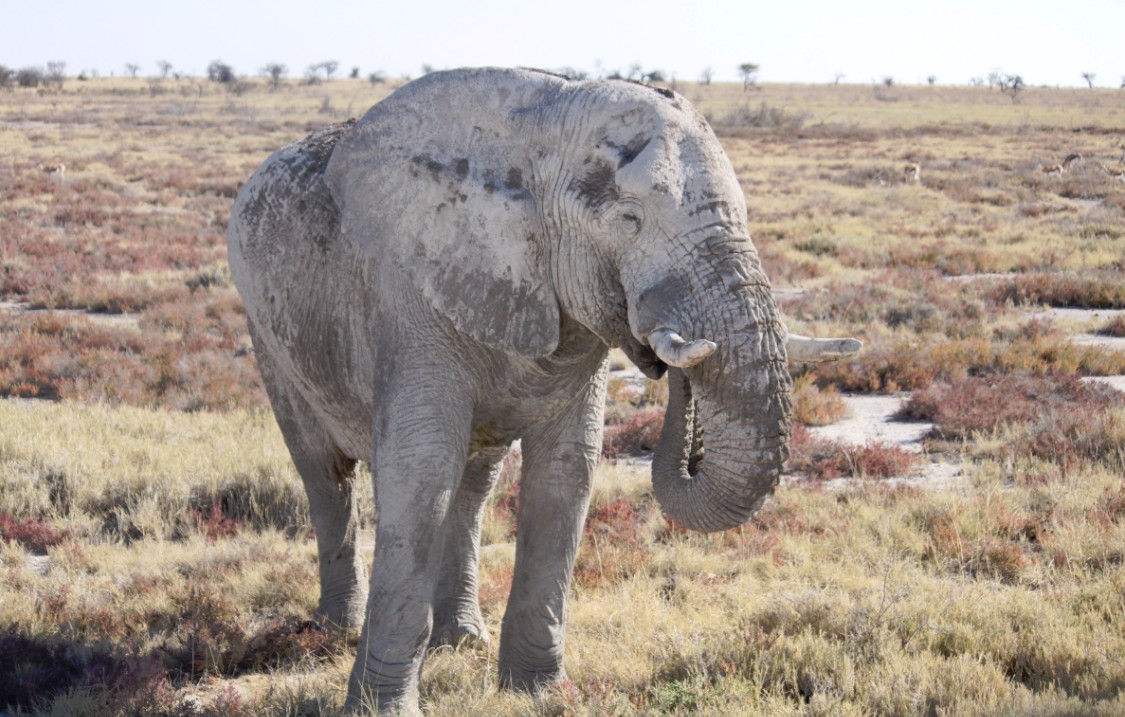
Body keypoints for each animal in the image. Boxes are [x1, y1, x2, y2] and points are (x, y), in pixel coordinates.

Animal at [228, 65, 859, 711]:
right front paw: (379, 712)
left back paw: (461, 641)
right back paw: (335, 630)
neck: (543, 125)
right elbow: (420, 472)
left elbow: (566, 473)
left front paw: (537, 692)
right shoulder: (411, 300)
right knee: (325, 473)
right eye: (629, 219)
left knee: (473, 484)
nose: (674, 354)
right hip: (265, 331)